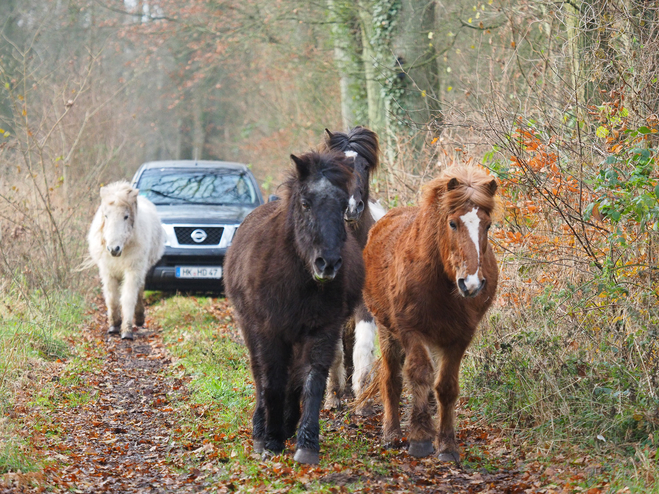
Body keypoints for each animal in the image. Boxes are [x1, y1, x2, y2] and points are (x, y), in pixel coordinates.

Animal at [87, 181, 164, 340]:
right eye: (106, 216)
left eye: (126, 216)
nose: (113, 249)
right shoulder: (108, 273)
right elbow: (112, 299)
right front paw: (114, 325)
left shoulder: (133, 271)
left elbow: (128, 298)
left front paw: (127, 330)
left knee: (139, 291)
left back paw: (139, 318)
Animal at [224, 150, 364, 464]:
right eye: (305, 203)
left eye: (342, 206)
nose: (327, 263)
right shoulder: (269, 331)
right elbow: (272, 380)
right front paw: (271, 440)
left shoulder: (323, 331)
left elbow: (311, 382)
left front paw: (306, 443)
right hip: (250, 328)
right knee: (260, 374)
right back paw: (261, 428)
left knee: (295, 377)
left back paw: (288, 424)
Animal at [360, 166, 500, 464]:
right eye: (453, 224)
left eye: (487, 225)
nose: (471, 284)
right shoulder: (411, 331)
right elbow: (419, 375)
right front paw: (421, 438)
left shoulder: (459, 338)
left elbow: (446, 387)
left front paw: (446, 445)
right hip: (387, 331)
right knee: (392, 379)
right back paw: (391, 433)